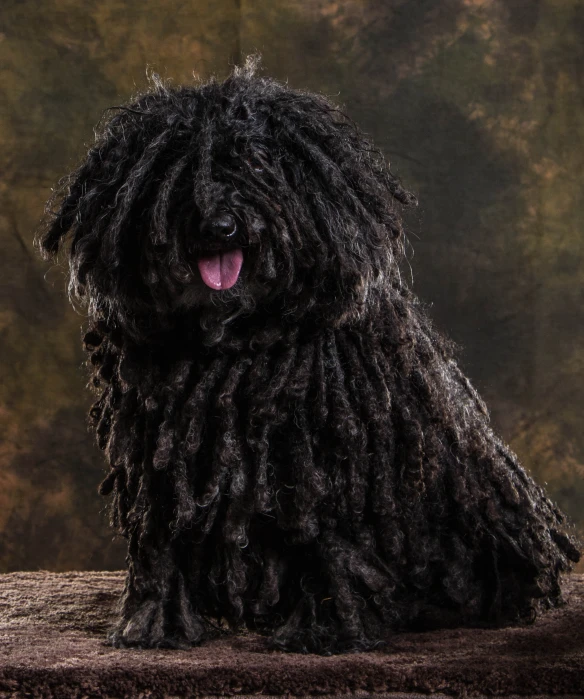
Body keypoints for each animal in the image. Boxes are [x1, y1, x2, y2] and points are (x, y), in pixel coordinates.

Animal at [33, 56, 584, 656]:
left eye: (257, 164)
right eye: (171, 171)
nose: (218, 225)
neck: (236, 340)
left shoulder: (327, 448)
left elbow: (327, 539)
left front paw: (326, 629)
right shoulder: (157, 447)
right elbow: (160, 536)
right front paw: (154, 622)